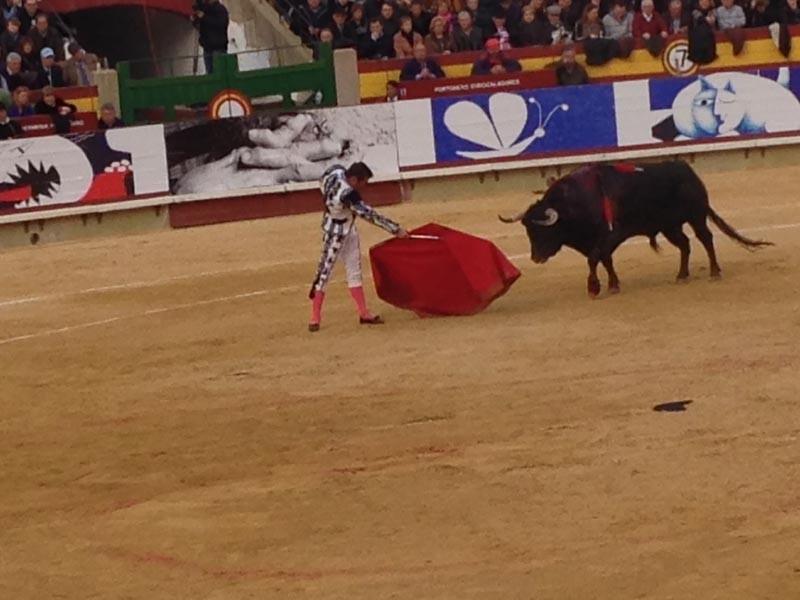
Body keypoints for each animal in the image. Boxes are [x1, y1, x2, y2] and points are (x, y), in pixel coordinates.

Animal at [499, 160, 772, 297]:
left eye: (542, 230)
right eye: (527, 231)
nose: (535, 258)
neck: (575, 204)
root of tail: (687, 169)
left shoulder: (611, 235)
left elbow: (595, 258)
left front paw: (595, 287)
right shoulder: (600, 241)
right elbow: (604, 260)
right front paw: (612, 284)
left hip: (696, 216)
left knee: (705, 238)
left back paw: (714, 271)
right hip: (669, 226)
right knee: (685, 244)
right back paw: (681, 275)